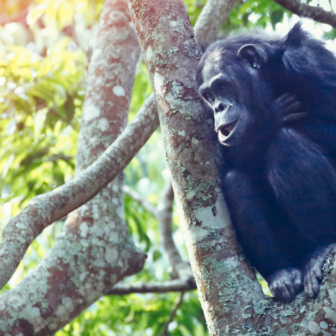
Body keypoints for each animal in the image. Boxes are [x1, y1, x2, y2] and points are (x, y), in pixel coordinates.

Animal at [196, 23, 336, 302]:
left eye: (223, 86)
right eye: (209, 95)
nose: (218, 107)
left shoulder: (310, 64)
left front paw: (265, 123)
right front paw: (266, 122)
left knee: (285, 144)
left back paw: (322, 247)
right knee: (235, 181)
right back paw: (282, 274)